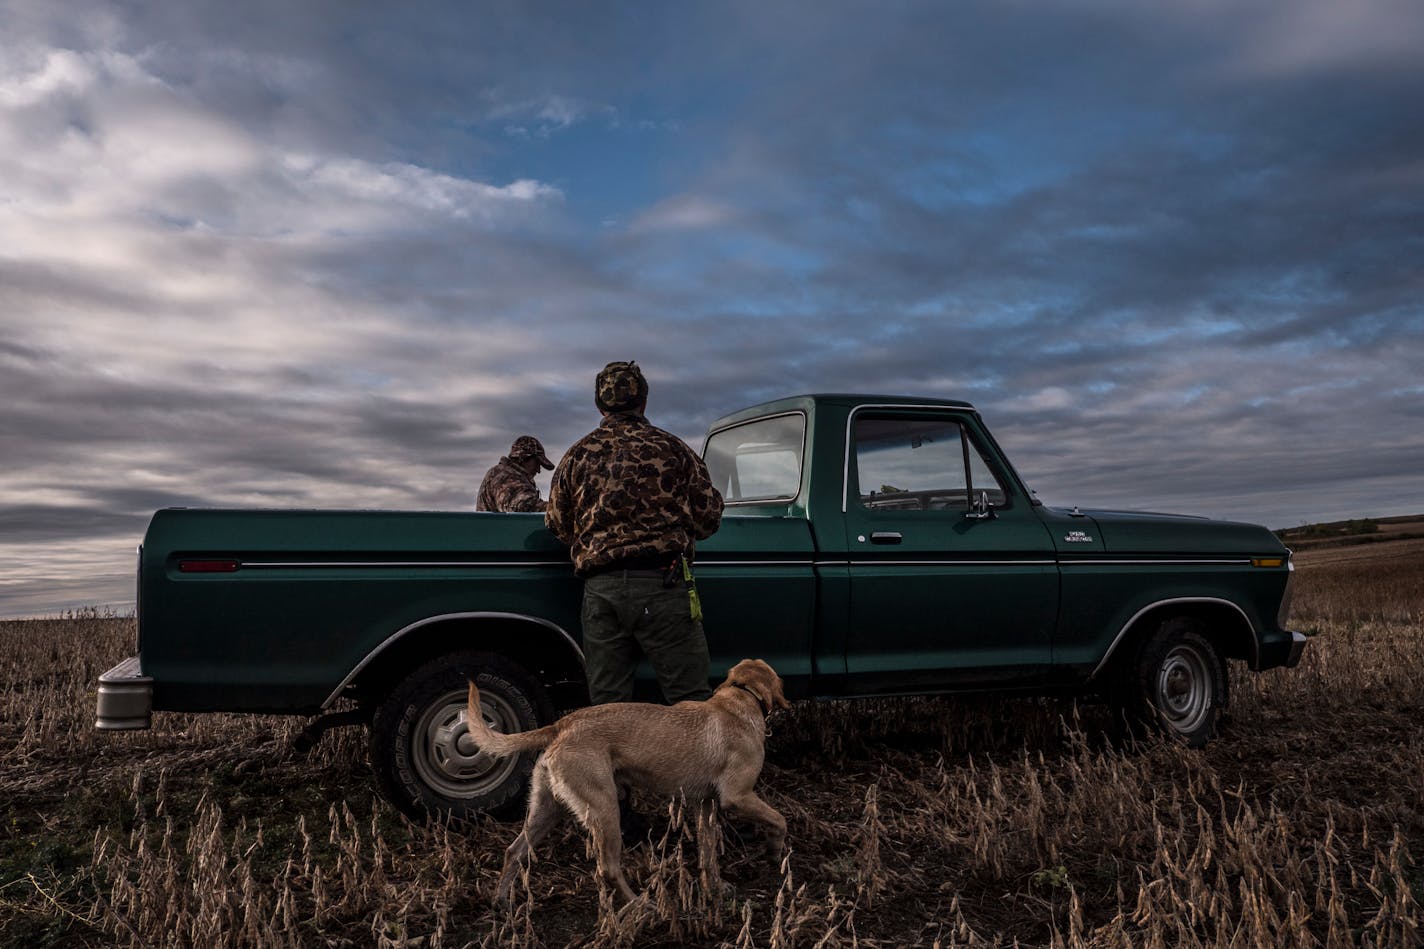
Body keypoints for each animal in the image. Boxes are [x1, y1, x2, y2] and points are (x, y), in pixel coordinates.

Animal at [472, 655, 797, 900]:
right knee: (608, 869)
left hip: (546, 810)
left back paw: (502, 902)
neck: (739, 699)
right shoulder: (737, 797)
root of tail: (562, 725)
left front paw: (715, 888)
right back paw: (640, 905)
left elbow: (707, 855)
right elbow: (780, 819)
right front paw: (774, 851)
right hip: (604, 809)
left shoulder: (706, 806)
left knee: (514, 852)